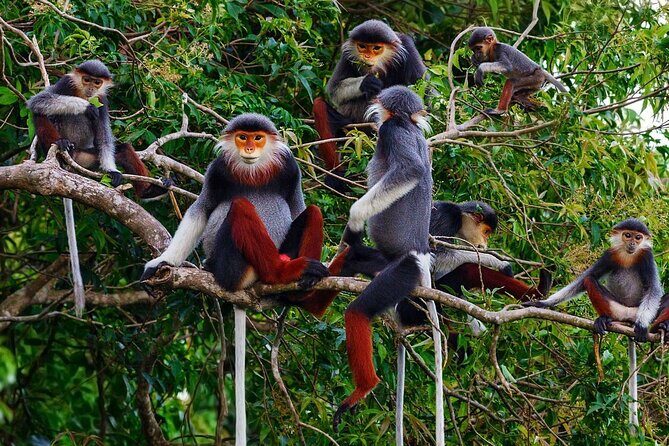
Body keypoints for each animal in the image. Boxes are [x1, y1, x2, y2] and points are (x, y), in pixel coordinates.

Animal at [27, 60, 171, 200]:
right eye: (86, 79)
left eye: (97, 82)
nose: (91, 88)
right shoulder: (66, 82)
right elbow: (38, 100)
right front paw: (87, 107)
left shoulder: (102, 100)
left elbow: (104, 137)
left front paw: (112, 171)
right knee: (39, 113)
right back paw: (61, 144)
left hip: (86, 159)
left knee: (124, 150)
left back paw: (150, 191)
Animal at [312, 20, 427, 192]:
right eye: (362, 46)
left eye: (376, 48)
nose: (366, 56)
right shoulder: (347, 54)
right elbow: (334, 89)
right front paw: (367, 82)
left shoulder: (408, 48)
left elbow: (426, 94)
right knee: (319, 105)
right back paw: (336, 177)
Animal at [331, 86, 445, 445]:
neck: (409, 124)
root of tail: (419, 256)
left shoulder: (392, 132)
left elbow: (410, 170)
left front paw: (354, 219)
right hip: (385, 262)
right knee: (353, 259)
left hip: (402, 273)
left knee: (357, 312)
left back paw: (364, 388)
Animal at [524, 219, 664, 342]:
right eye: (628, 235)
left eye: (638, 237)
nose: (633, 244)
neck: (627, 256)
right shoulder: (610, 254)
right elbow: (584, 279)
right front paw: (543, 303)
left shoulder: (647, 256)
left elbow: (653, 289)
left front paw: (642, 325)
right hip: (617, 308)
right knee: (589, 280)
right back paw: (605, 319)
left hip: (637, 312)